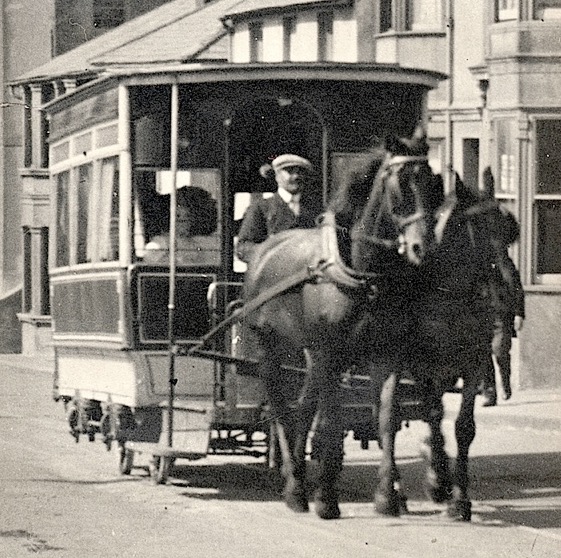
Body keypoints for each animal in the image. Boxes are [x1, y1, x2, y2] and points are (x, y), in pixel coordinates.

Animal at [241, 133, 438, 524]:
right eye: (399, 184)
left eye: (432, 181)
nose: (421, 247)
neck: (363, 273)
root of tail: (263, 252)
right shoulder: (332, 354)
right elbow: (331, 421)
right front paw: (327, 499)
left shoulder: (385, 354)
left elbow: (386, 418)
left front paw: (387, 497)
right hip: (271, 346)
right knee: (281, 408)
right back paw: (294, 486)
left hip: (309, 353)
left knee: (302, 407)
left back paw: (298, 477)